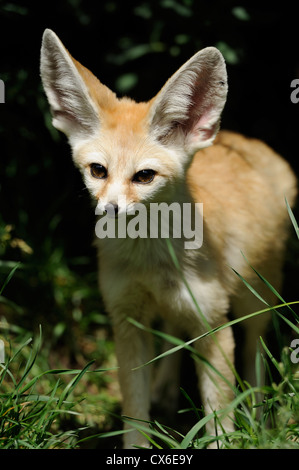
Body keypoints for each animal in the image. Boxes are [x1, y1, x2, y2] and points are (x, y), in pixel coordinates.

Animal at [40, 29, 298, 448]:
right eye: (98, 171)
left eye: (144, 176)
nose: (109, 211)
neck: (151, 263)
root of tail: (244, 141)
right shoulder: (127, 320)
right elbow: (135, 411)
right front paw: (138, 441)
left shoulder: (215, 326)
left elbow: (218, 418)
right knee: (175, 336)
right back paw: (165, 389)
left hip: (255, 301)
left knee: (255, 357)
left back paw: (258, 417)